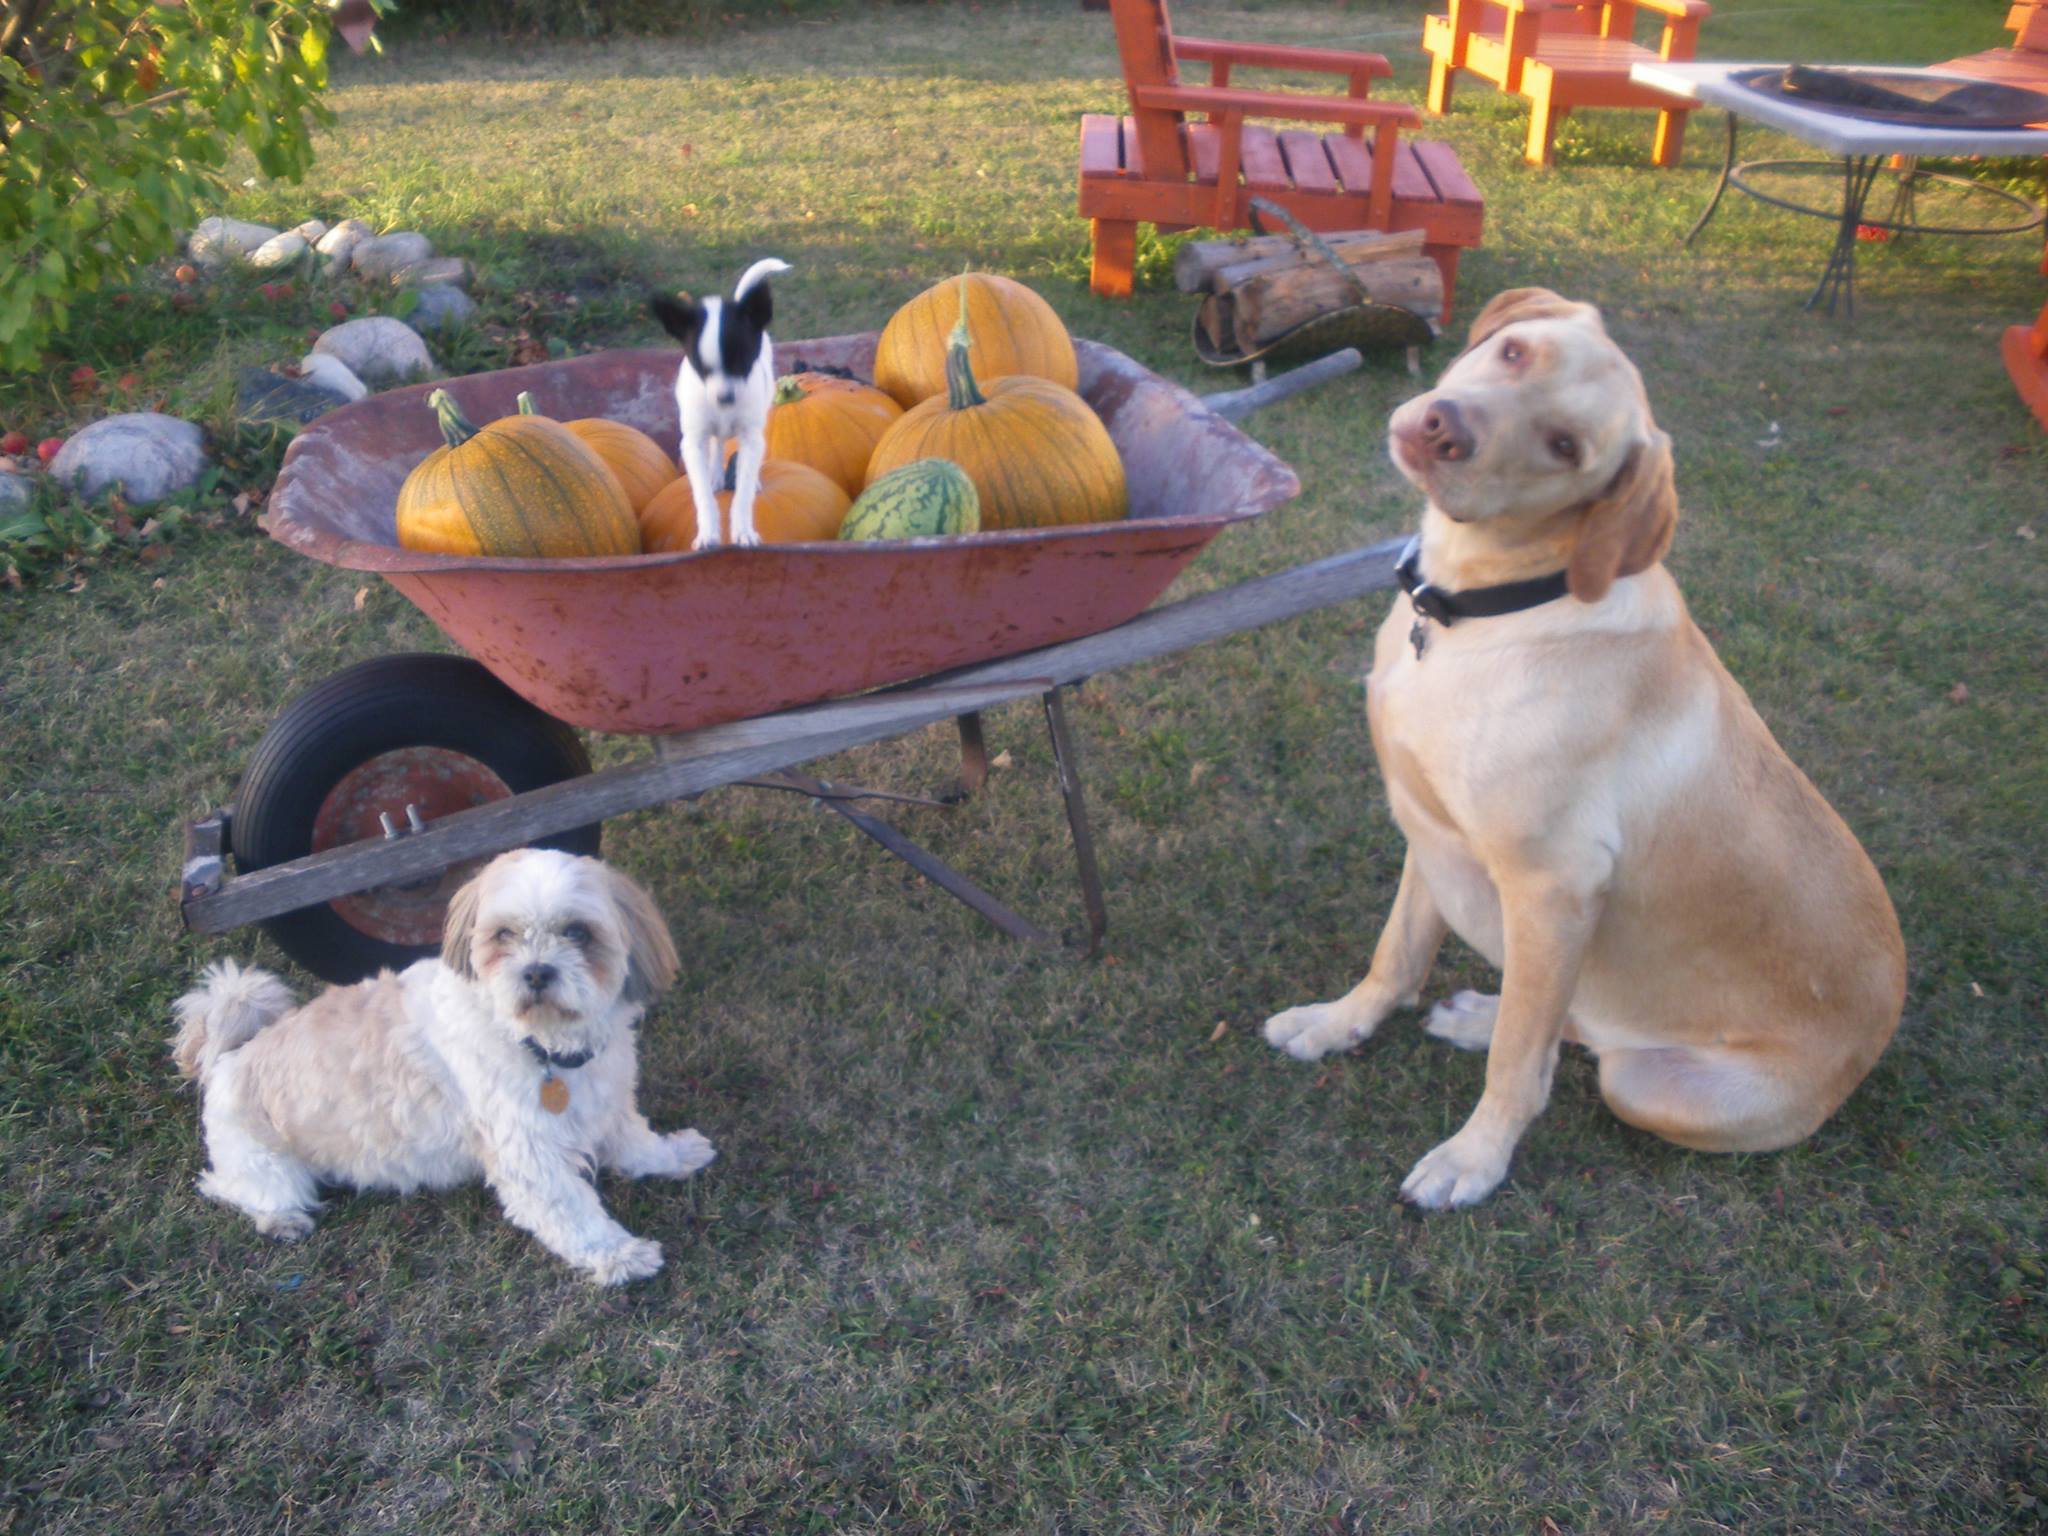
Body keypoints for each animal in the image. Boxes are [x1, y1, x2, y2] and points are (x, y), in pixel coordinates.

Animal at [173, 849, 714, 1285]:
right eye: (504, 935)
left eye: (578, 933)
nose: (537, 972)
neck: (542, 1045)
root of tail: (230, 1055)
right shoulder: (530, 1155)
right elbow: (574, 1213)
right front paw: (620, 1255)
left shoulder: (608, 1102)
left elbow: (636, 1141)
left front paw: (673, 1154)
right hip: (263, 1163)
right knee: (232, 1188)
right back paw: (281, 1220)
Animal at [648, 258, 791, 550]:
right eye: (701, 367)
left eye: (743, 362)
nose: (725, 398)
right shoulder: (693, 443)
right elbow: (702, 493)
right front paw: (708, 532)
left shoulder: (750, 438)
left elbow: (743, 491)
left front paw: (743, 530)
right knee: (717, 444)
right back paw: (715, 474)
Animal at [1263, 287, 1906, 1210]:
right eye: (1515, 354)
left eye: (1566, 446)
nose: (1443, 428)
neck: (1479, 612)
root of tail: (1876, 1037)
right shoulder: (1428, 829)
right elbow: (1396, 955)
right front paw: (1337, 1024)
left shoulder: (1553, 885)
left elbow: (1516, 1065)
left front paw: (1474, 1158)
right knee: (1567, 1020)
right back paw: (1478, 1013)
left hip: (1645, 1082)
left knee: (1577, 1044)